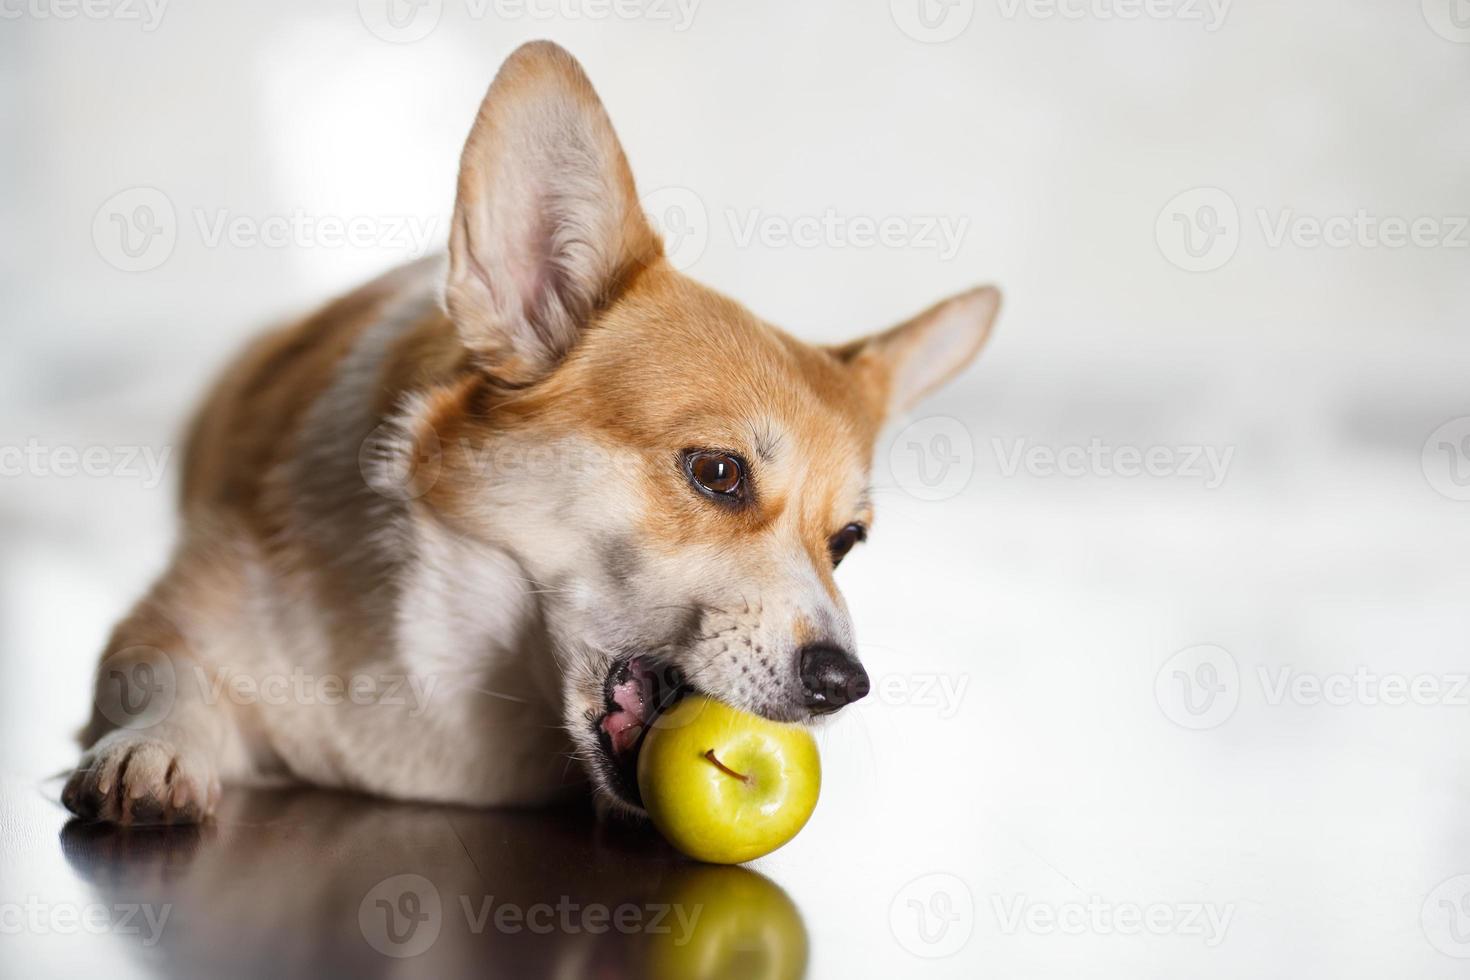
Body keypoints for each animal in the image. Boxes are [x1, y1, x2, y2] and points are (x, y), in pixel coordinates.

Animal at [57, 42, 999, 822]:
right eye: (718, 473)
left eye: (846, 541)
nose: (846, 685)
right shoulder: (161, 625)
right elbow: (167, 679)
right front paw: (155, 753)